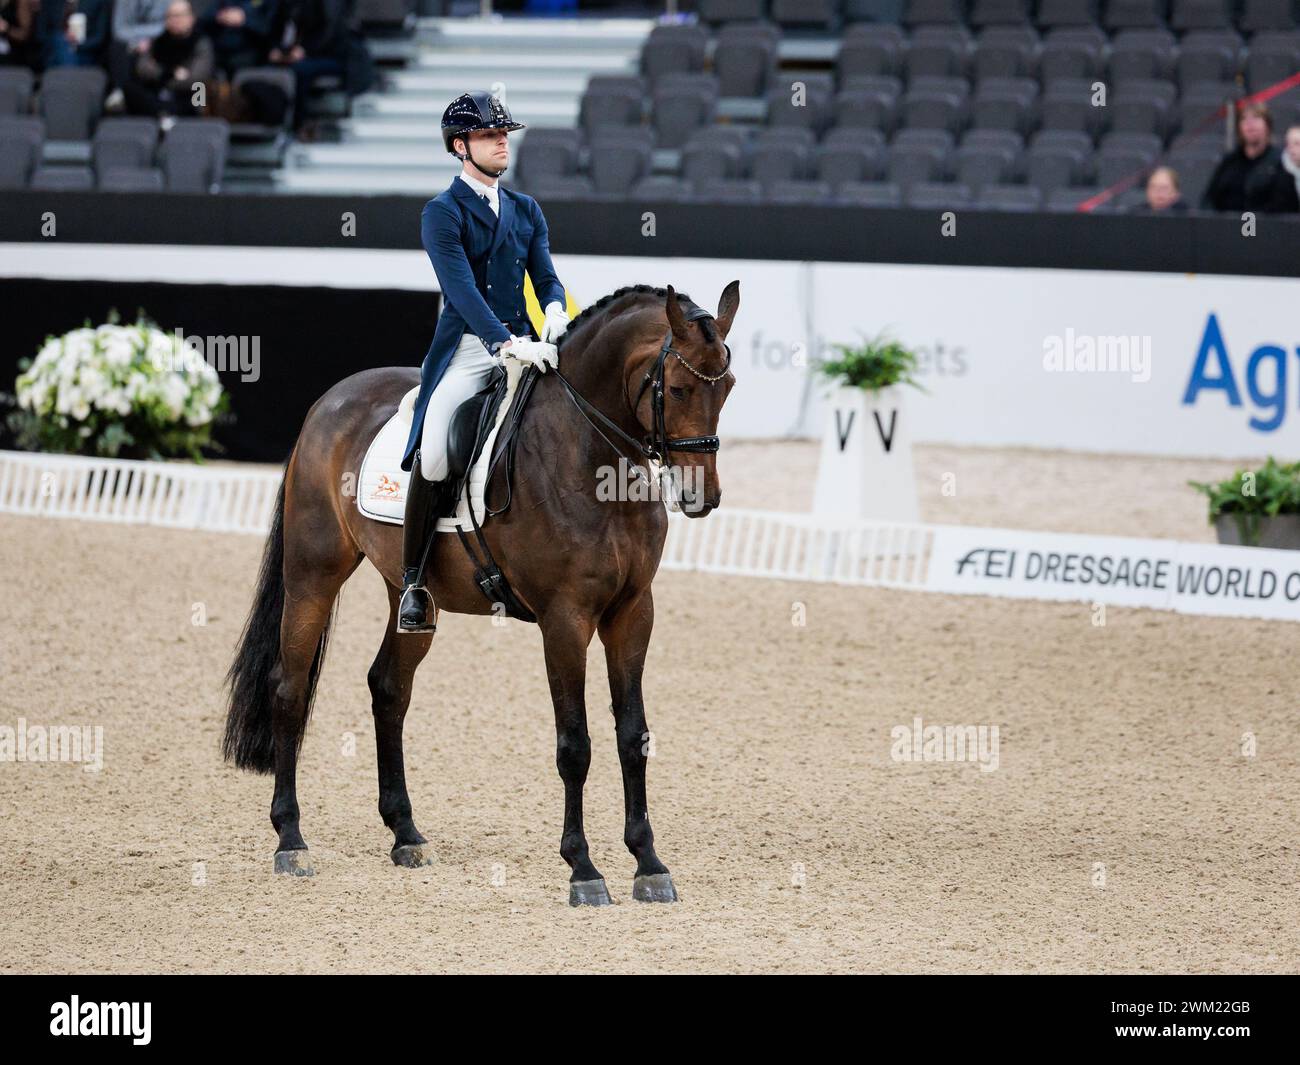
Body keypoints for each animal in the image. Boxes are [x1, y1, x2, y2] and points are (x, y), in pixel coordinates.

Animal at [218, 280, 738, 910]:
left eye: (728, 386)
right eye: (680, 388)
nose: (701, 497)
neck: (588, 455)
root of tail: (330, 400)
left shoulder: (633, 612)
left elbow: (632, 736)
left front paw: (649, 864)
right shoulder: (565, 619)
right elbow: (575, 745)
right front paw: (583, 869)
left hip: (409, 592)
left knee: (388, 688)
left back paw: (406, 835)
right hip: (313, 576)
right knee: (289, 690)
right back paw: (291, 840)